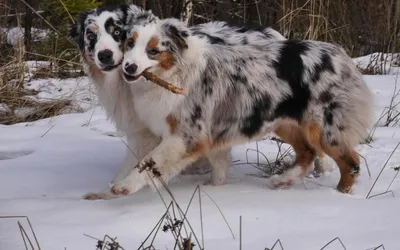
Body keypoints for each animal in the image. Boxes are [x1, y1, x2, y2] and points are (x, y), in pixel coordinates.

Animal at [114, 18, 374, 195]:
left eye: (153, 51)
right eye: (129, 43)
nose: (128, 67)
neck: (176, 73)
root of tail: (342, 55)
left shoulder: (187, 134)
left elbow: (150, 162)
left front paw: (123, 186)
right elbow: (216, 167)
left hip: (324, 128)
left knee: (351, 163)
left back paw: (340, 196)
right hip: (284, 121)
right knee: (308, 153)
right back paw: (282, 180)